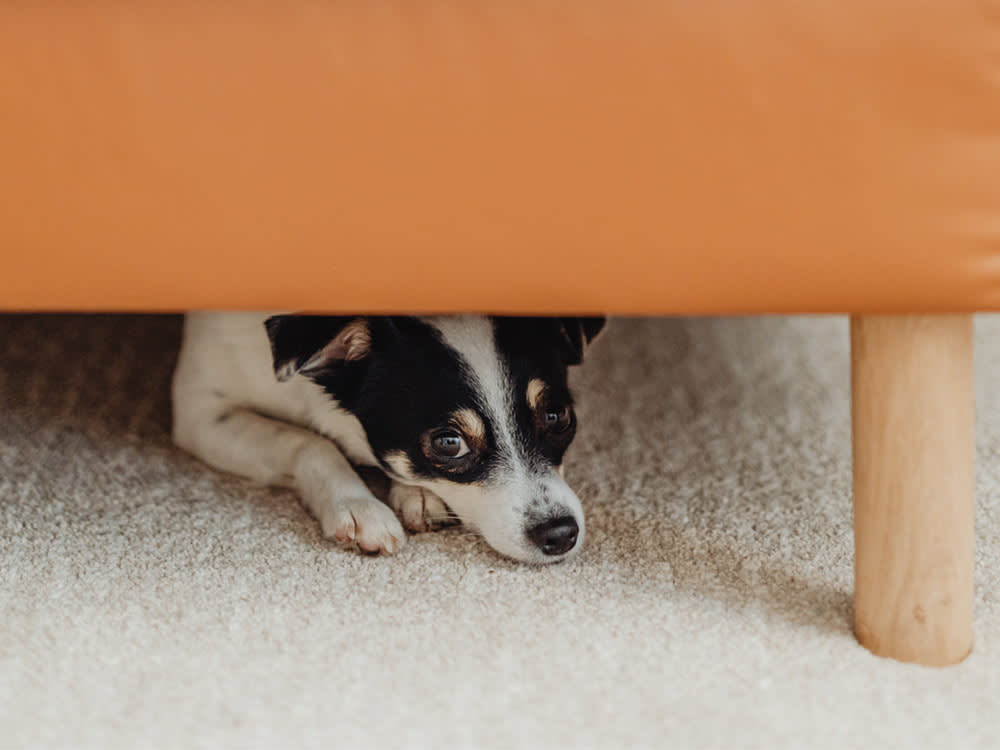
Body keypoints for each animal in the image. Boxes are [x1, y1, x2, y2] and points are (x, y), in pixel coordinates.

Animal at [172, 314, 604, 568]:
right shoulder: (200, 412)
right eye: (449, 443)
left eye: (556, 416)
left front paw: (418, 494)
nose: (560, 534)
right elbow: (312, 443)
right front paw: (359, 507)